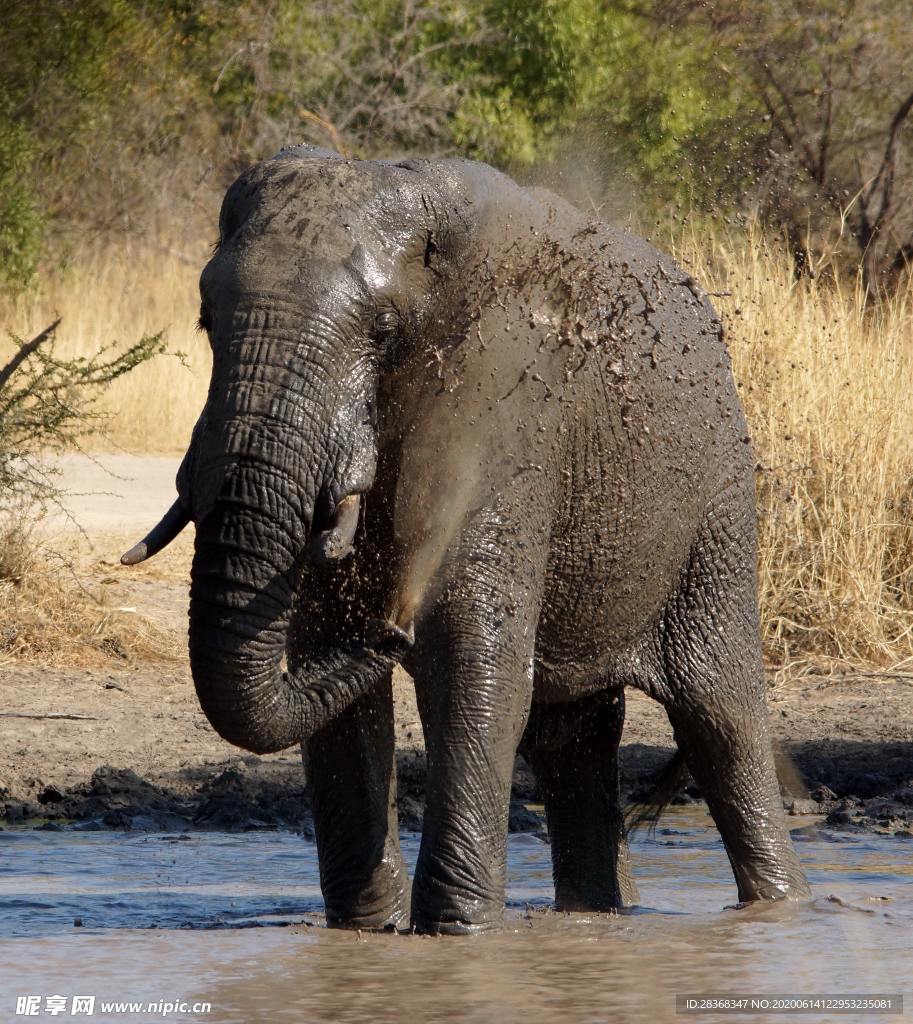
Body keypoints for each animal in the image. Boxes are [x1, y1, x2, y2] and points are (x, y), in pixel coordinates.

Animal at [123, 146, 810, 934]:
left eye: (382, 332)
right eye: (206, 320)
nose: (389, 629)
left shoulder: (510, 412)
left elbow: (469, 660)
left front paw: (455, 934)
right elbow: (326, 660)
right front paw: (366, 933)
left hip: (717, 501)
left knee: (719, 720)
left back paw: (782, 907)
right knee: (570, 737)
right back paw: (595, 917)